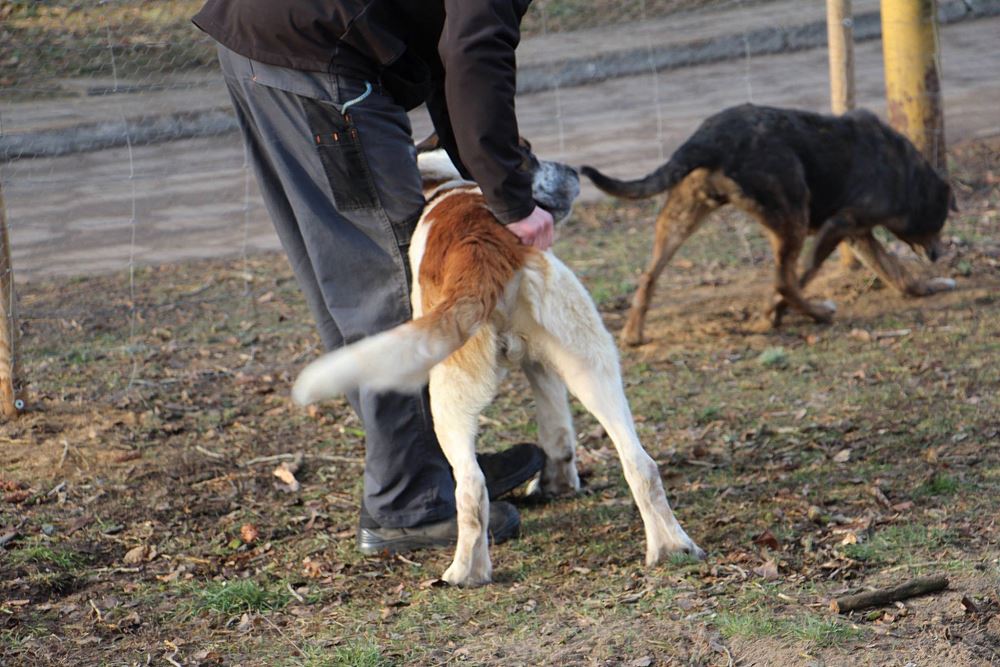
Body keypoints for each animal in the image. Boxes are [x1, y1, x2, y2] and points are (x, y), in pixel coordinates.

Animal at [292, 137, 704, 587]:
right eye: (532, 155)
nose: (574, 172)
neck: (448, 183)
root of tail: (483, 248)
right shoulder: (542, 366)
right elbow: (559, 433)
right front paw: (557, 484)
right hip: (592, 363)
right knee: (639, 462)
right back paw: (671, 547)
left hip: (447, 396)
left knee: (472, 486)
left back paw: (464, 573)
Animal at [581, 103, 957, 346]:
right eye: (939, 223)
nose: (938, 255)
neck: (907, 176)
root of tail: (709, 138)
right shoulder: (839, 226)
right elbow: (802, 276)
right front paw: (774, 311)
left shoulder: (856, 234)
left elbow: (896, 272)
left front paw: (926, 287)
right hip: (793, 215)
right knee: (783, 281)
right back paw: (819, 313)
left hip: (680, 216)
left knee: (648, 276)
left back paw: (633, 334)